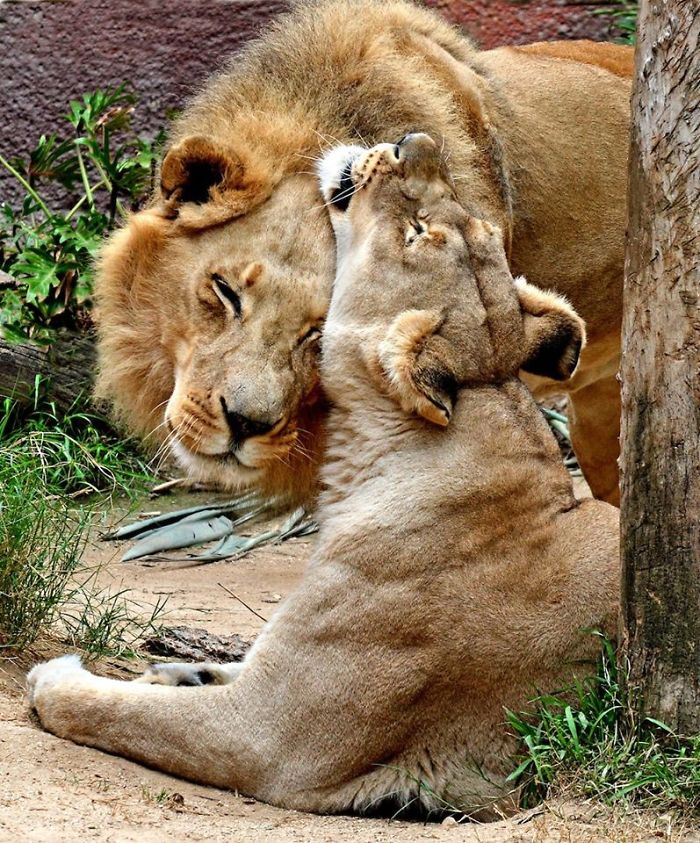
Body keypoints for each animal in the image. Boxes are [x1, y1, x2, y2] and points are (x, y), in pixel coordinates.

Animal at [29, 135, 620, 819]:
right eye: (473, 227)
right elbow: (221, 667)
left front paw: (58, 677)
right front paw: (181, 671)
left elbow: (121, 712)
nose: (414, 142)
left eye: (417, 233)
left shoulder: (267, 738)